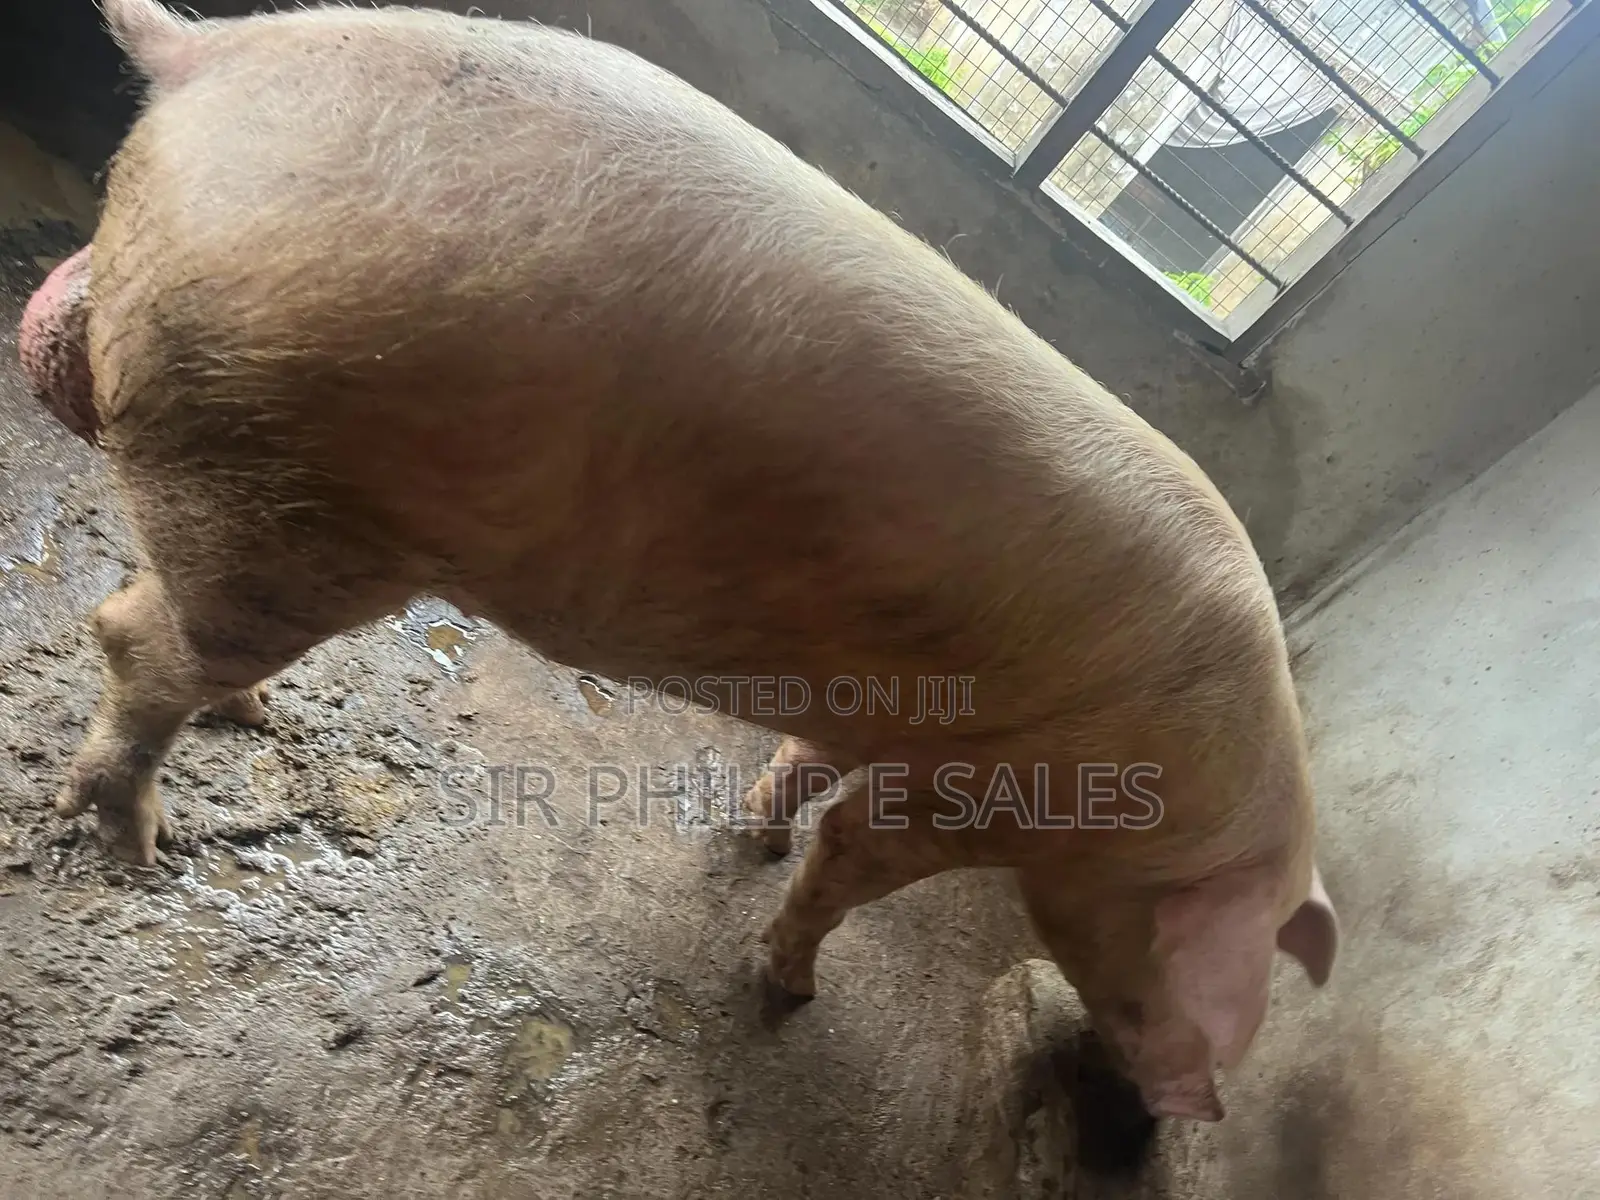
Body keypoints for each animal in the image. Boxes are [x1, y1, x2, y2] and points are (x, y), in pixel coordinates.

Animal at [16, 0, 1338, 1122]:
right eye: (1194, 979)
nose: (1199, 1107)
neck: (1170, 810)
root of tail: (211, 56)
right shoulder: (980, 785)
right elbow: (850, 857)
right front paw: (788, 989)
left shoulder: (871, 705)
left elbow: (801, 765)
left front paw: (751, 835)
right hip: (277, 470)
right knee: (138, 637)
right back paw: (140, 838)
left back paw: (248, 718)